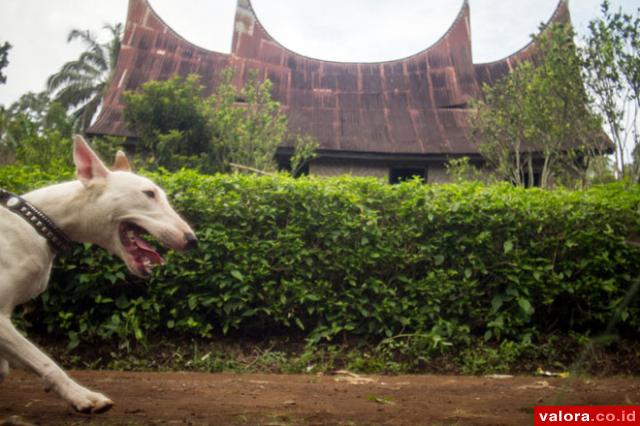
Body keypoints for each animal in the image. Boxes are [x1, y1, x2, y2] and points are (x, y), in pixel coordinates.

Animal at [0, 136, 195, 412]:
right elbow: (43, 361)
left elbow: (4, 368)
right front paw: (83, 396)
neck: (37, 223)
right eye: (149, 193)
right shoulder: (0, 319)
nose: (192, 240)